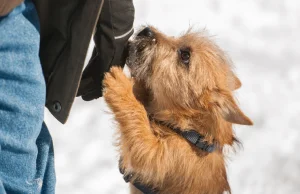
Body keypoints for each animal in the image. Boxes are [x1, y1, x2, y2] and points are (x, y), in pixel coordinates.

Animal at [103, 26, 253, 194]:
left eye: (185, 55)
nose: (146, 30)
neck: (191, 132)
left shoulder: (159, 155)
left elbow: (139, 128)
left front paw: (121, 87)